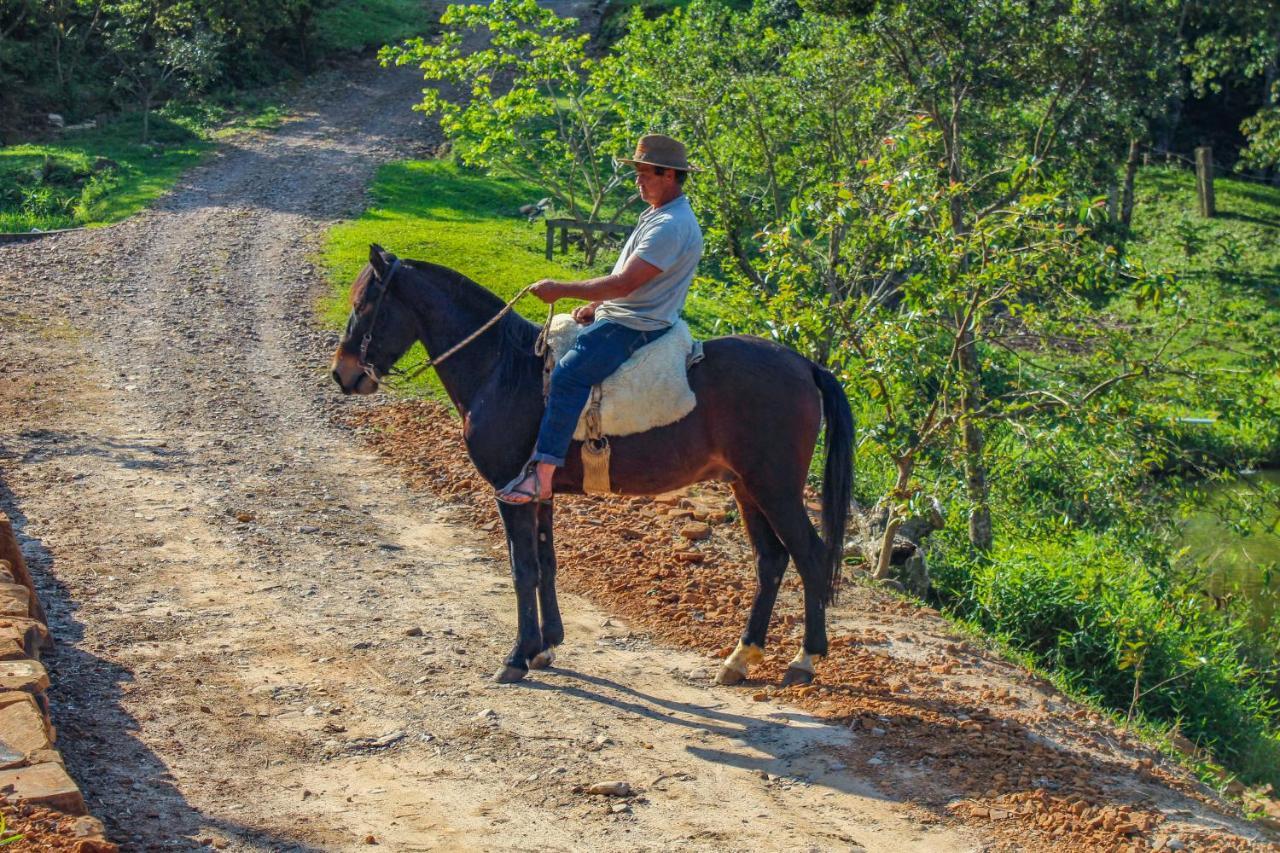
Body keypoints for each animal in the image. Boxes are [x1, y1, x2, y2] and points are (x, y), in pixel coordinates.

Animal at [330, 245, 855, 686]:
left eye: (363, 305)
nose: (343, 374)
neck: (503, 369)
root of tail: (805, 365)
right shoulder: (537, 491)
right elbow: (546, 563)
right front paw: (546, 647)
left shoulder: (509, 492)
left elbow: (522, 568)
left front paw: (517, 656)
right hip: (746, 487)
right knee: (771, 561)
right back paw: (741, 656)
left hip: (775, 487)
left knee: (809, 555)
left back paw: (804, 659)